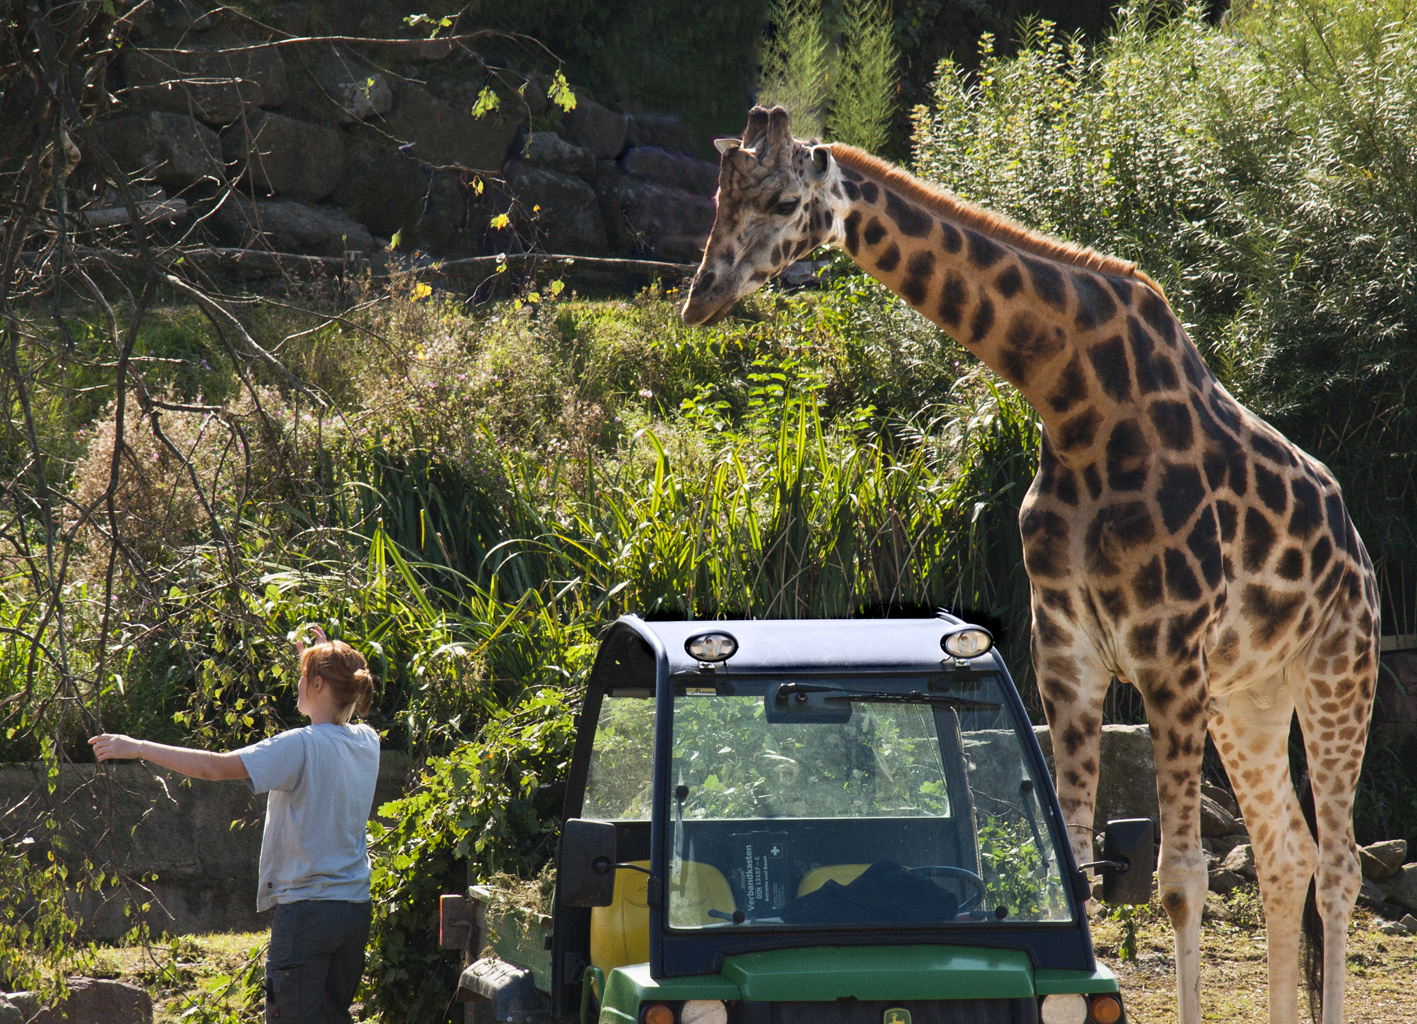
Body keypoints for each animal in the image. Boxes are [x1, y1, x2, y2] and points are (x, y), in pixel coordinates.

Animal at [680, 106, 1377, 1024]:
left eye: (784, 200)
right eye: (718, 199)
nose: (701, 296)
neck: (1076, 403)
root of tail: (1356, 548)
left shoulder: (1165, 655)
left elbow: (1179, 879)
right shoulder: (1069, 652)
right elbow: (1077, 857)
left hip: (1337, 672)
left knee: (1337, 867)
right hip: (1246, 697)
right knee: (1284, 853)